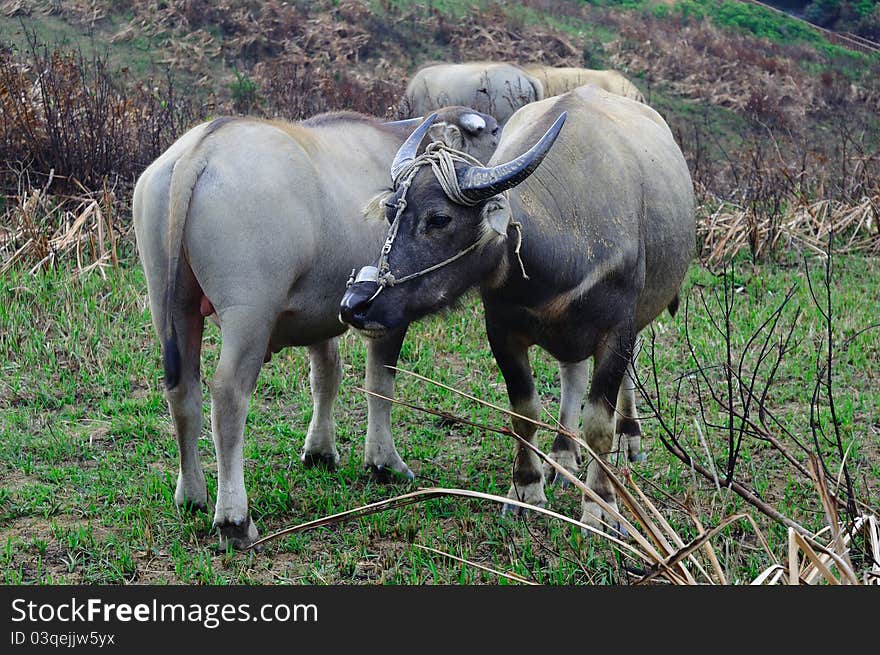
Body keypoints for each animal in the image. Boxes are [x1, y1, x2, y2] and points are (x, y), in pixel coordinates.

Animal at [133, 106, 498, 548]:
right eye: (490, 132)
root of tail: (198, 151)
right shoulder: (386, 313)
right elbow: (380, 383)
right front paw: (384, 462)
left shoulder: (321, 316)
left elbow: (326, 376)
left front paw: (320, 451)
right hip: (248, 313)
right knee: (228, 395)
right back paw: (234, 519)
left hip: (169, 303)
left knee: (182, 390)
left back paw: (192, 495)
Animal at [342, 87, 696, 536]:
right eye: (392, 210)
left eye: (439, 219)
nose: (356, 303)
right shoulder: (502, 330)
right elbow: (524, 411)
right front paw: (526, 490)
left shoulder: (617, 330)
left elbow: (600, 423)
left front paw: (601, 508)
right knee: (571, 373)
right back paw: (562, 453)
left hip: (641, 315)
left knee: (626, 375)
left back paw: (628, 437)